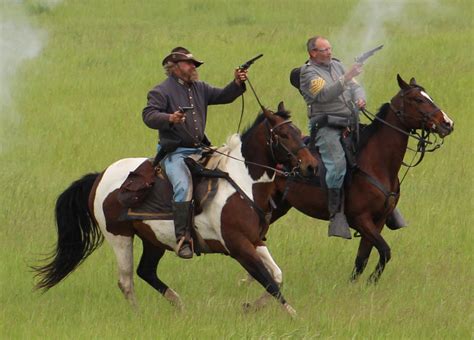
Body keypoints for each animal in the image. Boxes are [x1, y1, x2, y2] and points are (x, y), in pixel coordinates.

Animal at [32, 103, 314, 316]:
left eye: (298, 130)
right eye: (284, 135)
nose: (311, 166)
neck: (241, 182)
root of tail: (100, 176)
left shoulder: (255, 241)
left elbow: (276, 276)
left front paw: (250, 307)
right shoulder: (238, 246)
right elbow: (269, 281)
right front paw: (293, 315)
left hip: (153, 240)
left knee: (145, 271)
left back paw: (179, 304)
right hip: (120, 237)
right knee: (126, 280)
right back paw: (139, 315)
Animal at [268, 75, 454, 284]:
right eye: (418, 99)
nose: (447, 123)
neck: (376, 164)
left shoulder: (378, 221)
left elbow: (363, 258)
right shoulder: (361, 220)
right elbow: (384, 251)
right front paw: (371, 280)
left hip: (279, 206)